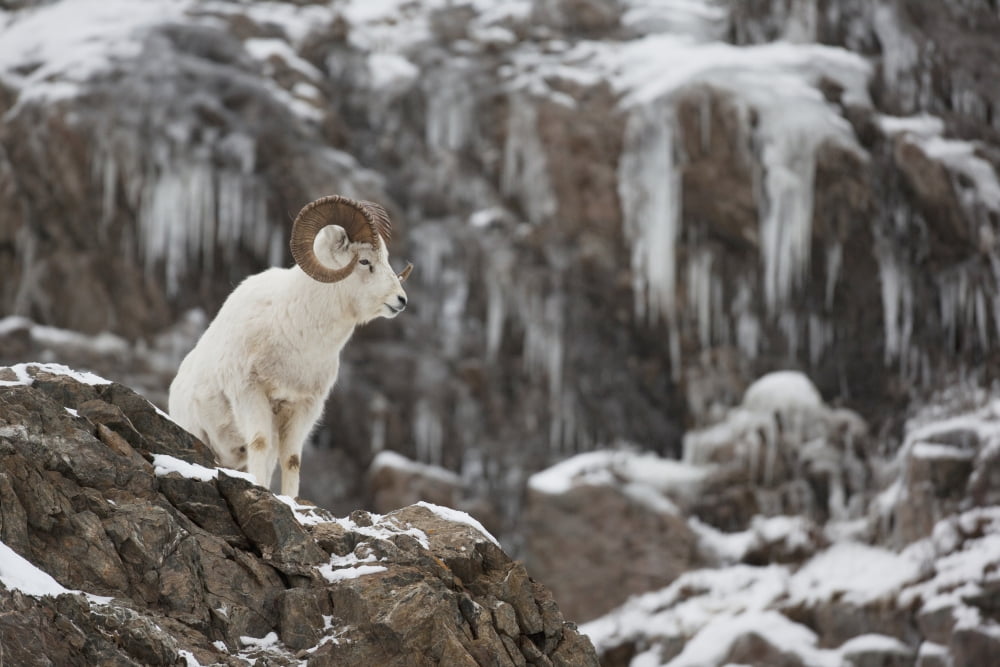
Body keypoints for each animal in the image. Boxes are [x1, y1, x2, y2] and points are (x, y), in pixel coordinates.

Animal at [168, 195, 412, 498]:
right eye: (365, 261)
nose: (400, 301)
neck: (294, 336)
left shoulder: (304, 407)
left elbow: (292, 460)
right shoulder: (250, 394)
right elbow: (260, 444)